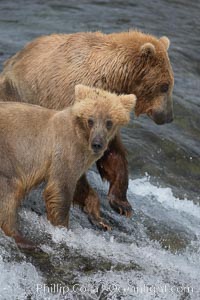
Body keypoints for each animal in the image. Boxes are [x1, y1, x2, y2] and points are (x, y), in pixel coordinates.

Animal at [0, 30, 174, 227]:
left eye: (171, 83)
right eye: (164, 86)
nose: (168, 117)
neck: (113, 77)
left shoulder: (107, 114)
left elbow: (113, 153)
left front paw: (122, 204)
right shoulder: (70, 104)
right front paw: (95, 210)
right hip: (14, 93)